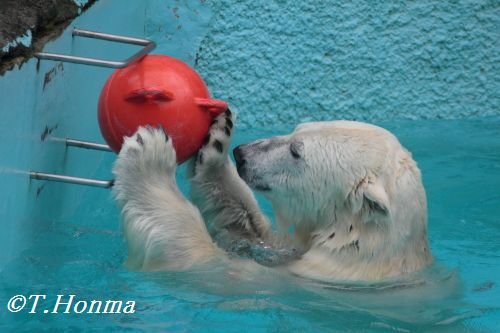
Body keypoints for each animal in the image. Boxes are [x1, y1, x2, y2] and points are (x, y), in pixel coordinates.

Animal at [111, 111, 432, 280]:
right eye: (296, 129)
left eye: (295, 151)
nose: (242, 154)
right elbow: (249, 231)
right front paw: (215, 144)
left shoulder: (306, 277)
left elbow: (206, 267)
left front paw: (149, 159)